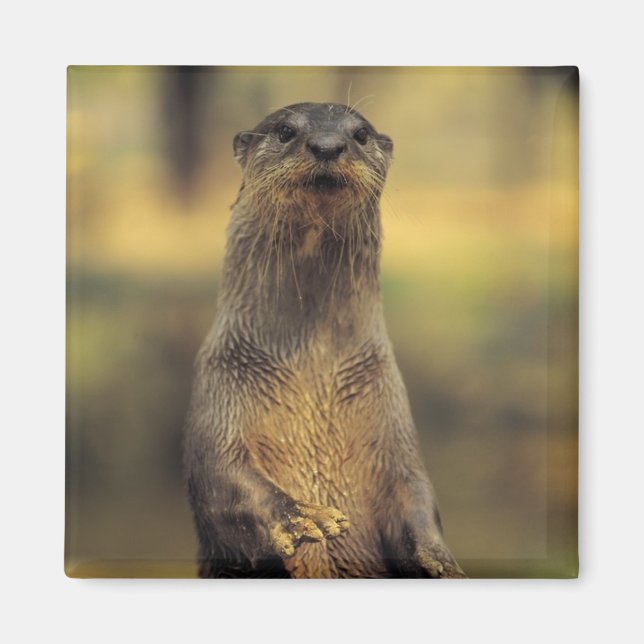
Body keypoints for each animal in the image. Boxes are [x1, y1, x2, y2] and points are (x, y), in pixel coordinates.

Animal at [183, 102, 465, 578]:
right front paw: (302, 517)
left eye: (361, 134)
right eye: (284, 130)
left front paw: (439, 559)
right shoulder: (220, 389)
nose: (328, 145)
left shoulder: (390, 415)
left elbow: (415, 493)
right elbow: (223, 481)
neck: (311, 370)